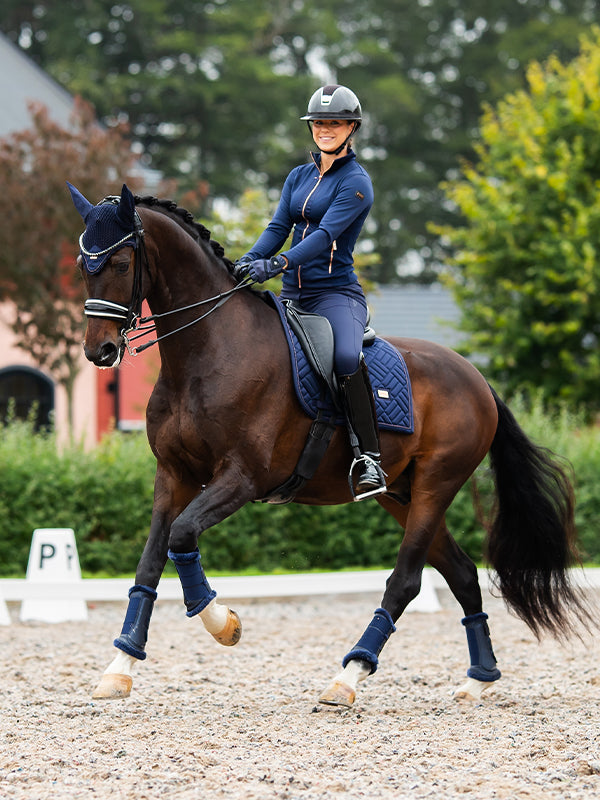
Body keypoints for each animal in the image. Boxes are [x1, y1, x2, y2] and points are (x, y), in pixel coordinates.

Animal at [68, 183, 588, 708]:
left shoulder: (241, 478)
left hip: (436, 485)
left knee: (406, 580)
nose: (99, 351)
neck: (207, 351)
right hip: (400, 494)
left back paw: (349, 676)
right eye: (82, 265)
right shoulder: (173, 475)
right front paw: (120, 666)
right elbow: (151, 561)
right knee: (461, 573)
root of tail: (475, 377)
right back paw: (479, 678)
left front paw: (224, 624)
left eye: (120, 264)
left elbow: (181, 537)